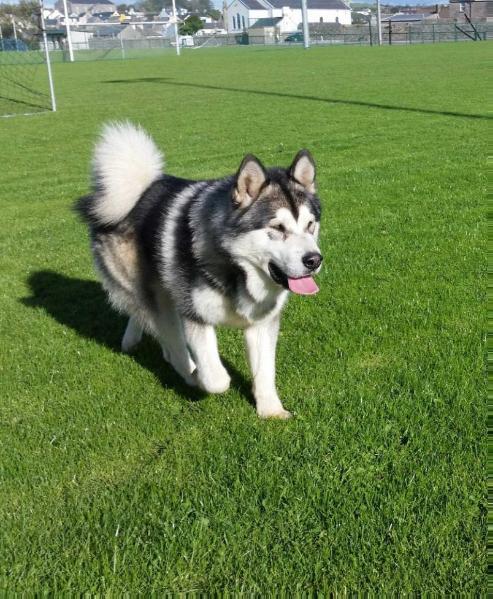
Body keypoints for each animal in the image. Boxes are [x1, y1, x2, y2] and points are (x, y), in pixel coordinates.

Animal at [76, 123, 322, 420]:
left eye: (310, 225)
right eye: (277, 228)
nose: (314, 260)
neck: (237, 269)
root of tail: (135, 189)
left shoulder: (262, 323)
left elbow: (265, 372)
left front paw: (271, 411)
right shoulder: (195, 317)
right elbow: (217, 380)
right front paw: (202, 378)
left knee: (143, 316)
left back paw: (131, 340)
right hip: (159, 297)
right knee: (166, 336)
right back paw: (186, 369)